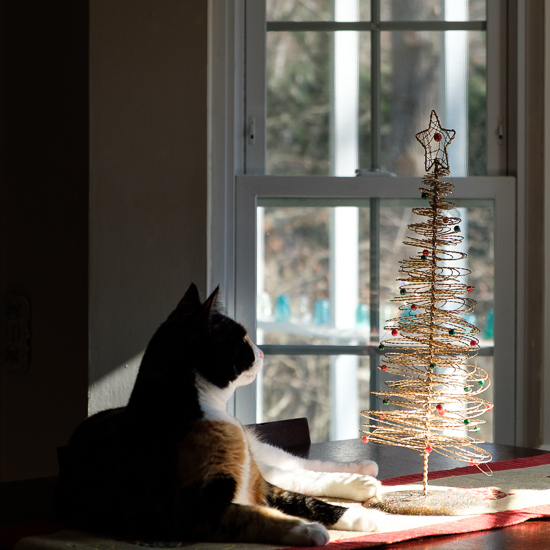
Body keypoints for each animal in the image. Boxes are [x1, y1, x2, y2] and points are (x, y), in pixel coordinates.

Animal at [56, 284, 384, 548]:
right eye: (244, 341)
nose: (262, 353)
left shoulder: (260, 486)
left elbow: (306, 500)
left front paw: (360, 517)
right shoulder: (196, 510)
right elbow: (255, 515)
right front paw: (306, 530)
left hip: (260, 460)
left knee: (299, 466)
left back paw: (362, 473)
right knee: (294, 473)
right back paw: (362, 480)